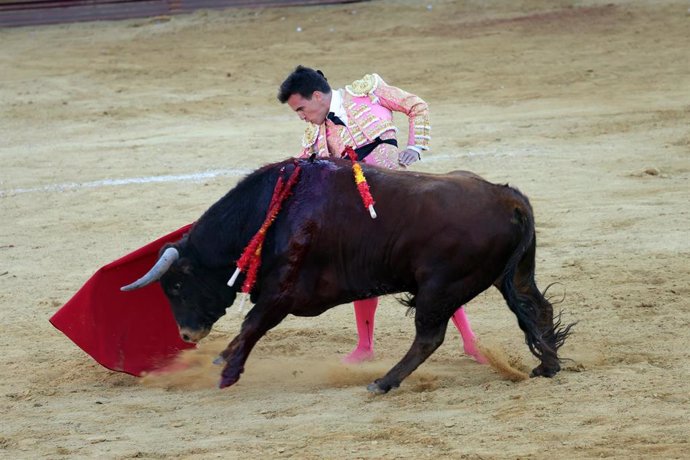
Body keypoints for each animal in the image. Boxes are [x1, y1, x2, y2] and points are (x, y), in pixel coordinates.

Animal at [122, 157, 568, 392]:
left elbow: (252, 325)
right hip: (511, 275)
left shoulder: (281, 292)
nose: (186, 335)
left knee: (429, 336)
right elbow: (250, 327)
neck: (272, 213)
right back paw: (547, 366)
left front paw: (228, 371)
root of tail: (507, 197)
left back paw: (383, 382)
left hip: (439, 286)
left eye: (178, 284)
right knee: (538, 309)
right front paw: (224, 361)